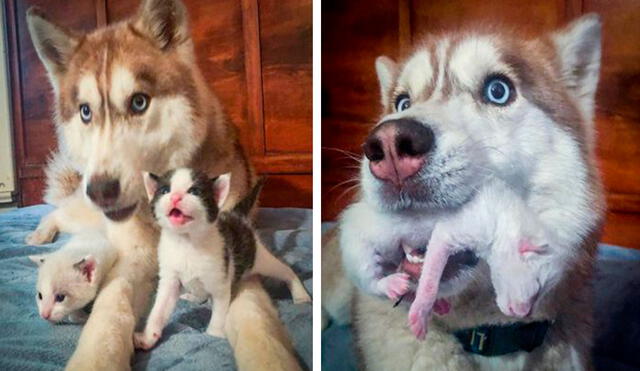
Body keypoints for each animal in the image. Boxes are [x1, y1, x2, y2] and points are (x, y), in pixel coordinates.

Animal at [134, 170, 310, 350]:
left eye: (194, 191)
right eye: (164, 191)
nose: (175, 197)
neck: (187, 243)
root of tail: (236, 215)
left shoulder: (220, 281)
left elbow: (218, 313)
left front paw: (214, 336)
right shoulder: (170, 278)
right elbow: (159, 309)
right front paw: (148, 336)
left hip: (258, 258)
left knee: (286, 270)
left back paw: (301, 295)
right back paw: (193, 296)